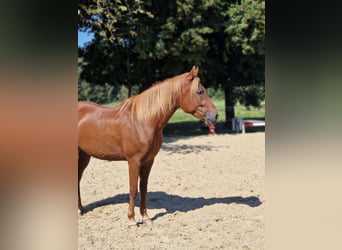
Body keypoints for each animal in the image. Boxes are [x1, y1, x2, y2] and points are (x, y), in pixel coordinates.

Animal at [78, 66, 218, 229]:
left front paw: (145, 218)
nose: (215, 116)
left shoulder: (148, 161)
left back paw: (80, 209)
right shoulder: (133, 161)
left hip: (84, 156)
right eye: (200, 91)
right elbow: (133, 189)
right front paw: (131, 221)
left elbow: (143, 189)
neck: (142, 121)